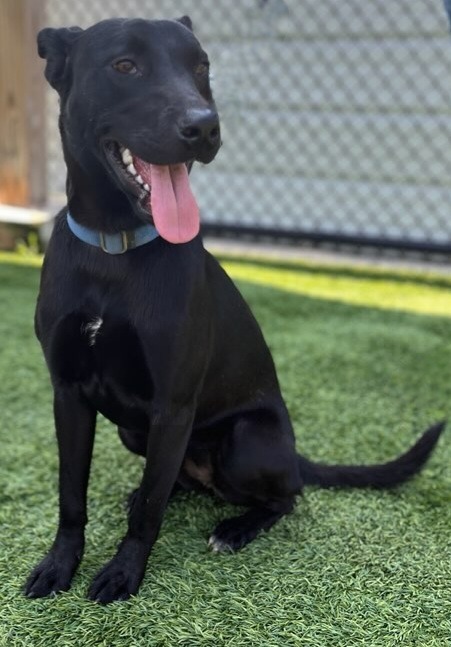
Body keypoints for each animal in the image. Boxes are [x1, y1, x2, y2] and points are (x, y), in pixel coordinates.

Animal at [26, 16, 446, 604]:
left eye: (201, 66)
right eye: (124, 65)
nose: (204, 127)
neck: (115, 252)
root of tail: (293, 452)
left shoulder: (173, 405)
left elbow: (149, 512)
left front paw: (124, 572)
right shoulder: (67, 394)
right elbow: (72, 496)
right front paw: (58, 565)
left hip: (246, 442)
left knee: (284, 496)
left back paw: (237, 527)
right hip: (136, 432)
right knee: (173, 479)